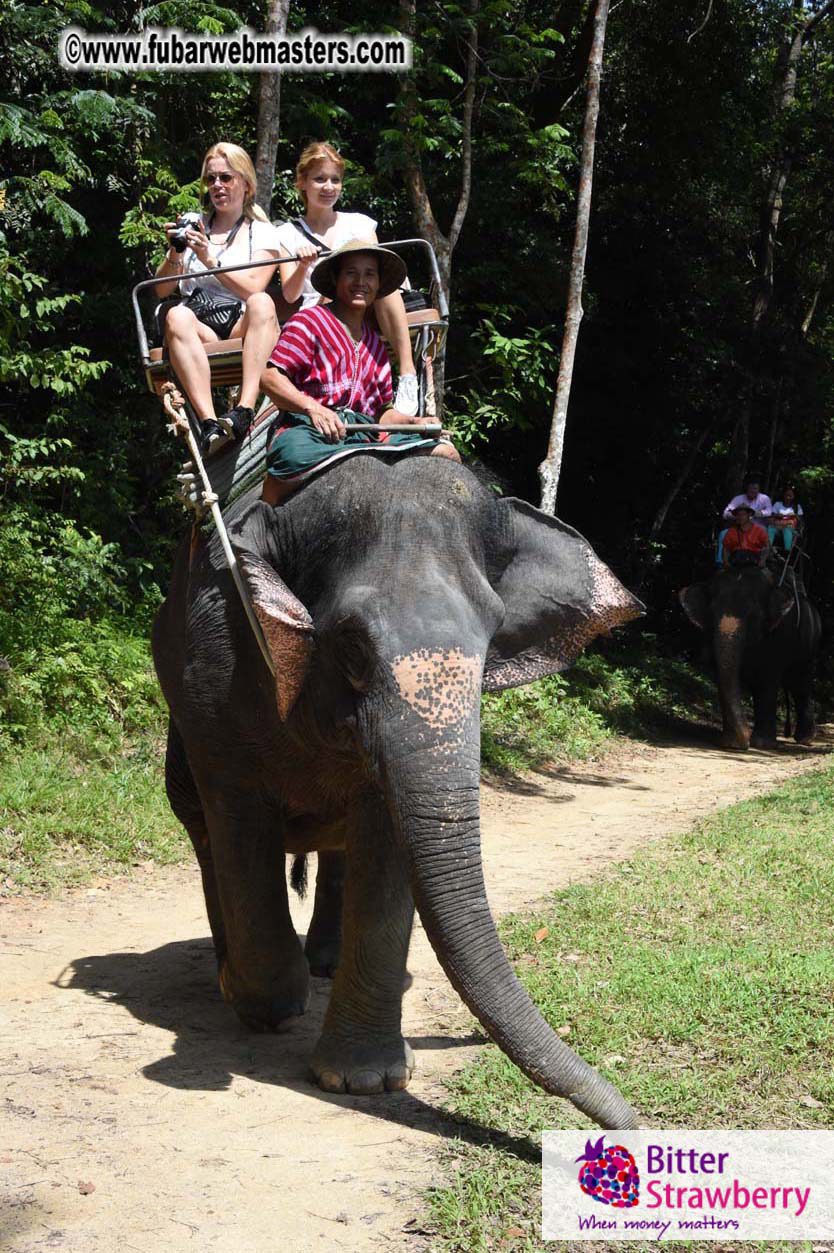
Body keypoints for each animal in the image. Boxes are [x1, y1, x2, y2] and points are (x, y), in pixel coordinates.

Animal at [152, 454, 643, 1128]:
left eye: (494, 637)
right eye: (353, 645)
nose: (635, 1122)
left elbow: (386, 842)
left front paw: (365, 1080)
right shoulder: (215, 669)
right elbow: (241, 822)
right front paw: (260, 1003)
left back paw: (325, 962)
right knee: (207, 838)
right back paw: (239, 974)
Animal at [679, 565, 820, 750]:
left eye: (754, 615)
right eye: (711, 613)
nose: (745, 742)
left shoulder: (779, 634)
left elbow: (767, 680)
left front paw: (762, 744)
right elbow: (722, 677)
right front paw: (730, 743)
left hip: (810, 642)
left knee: (800, 684)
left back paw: (805, 739)